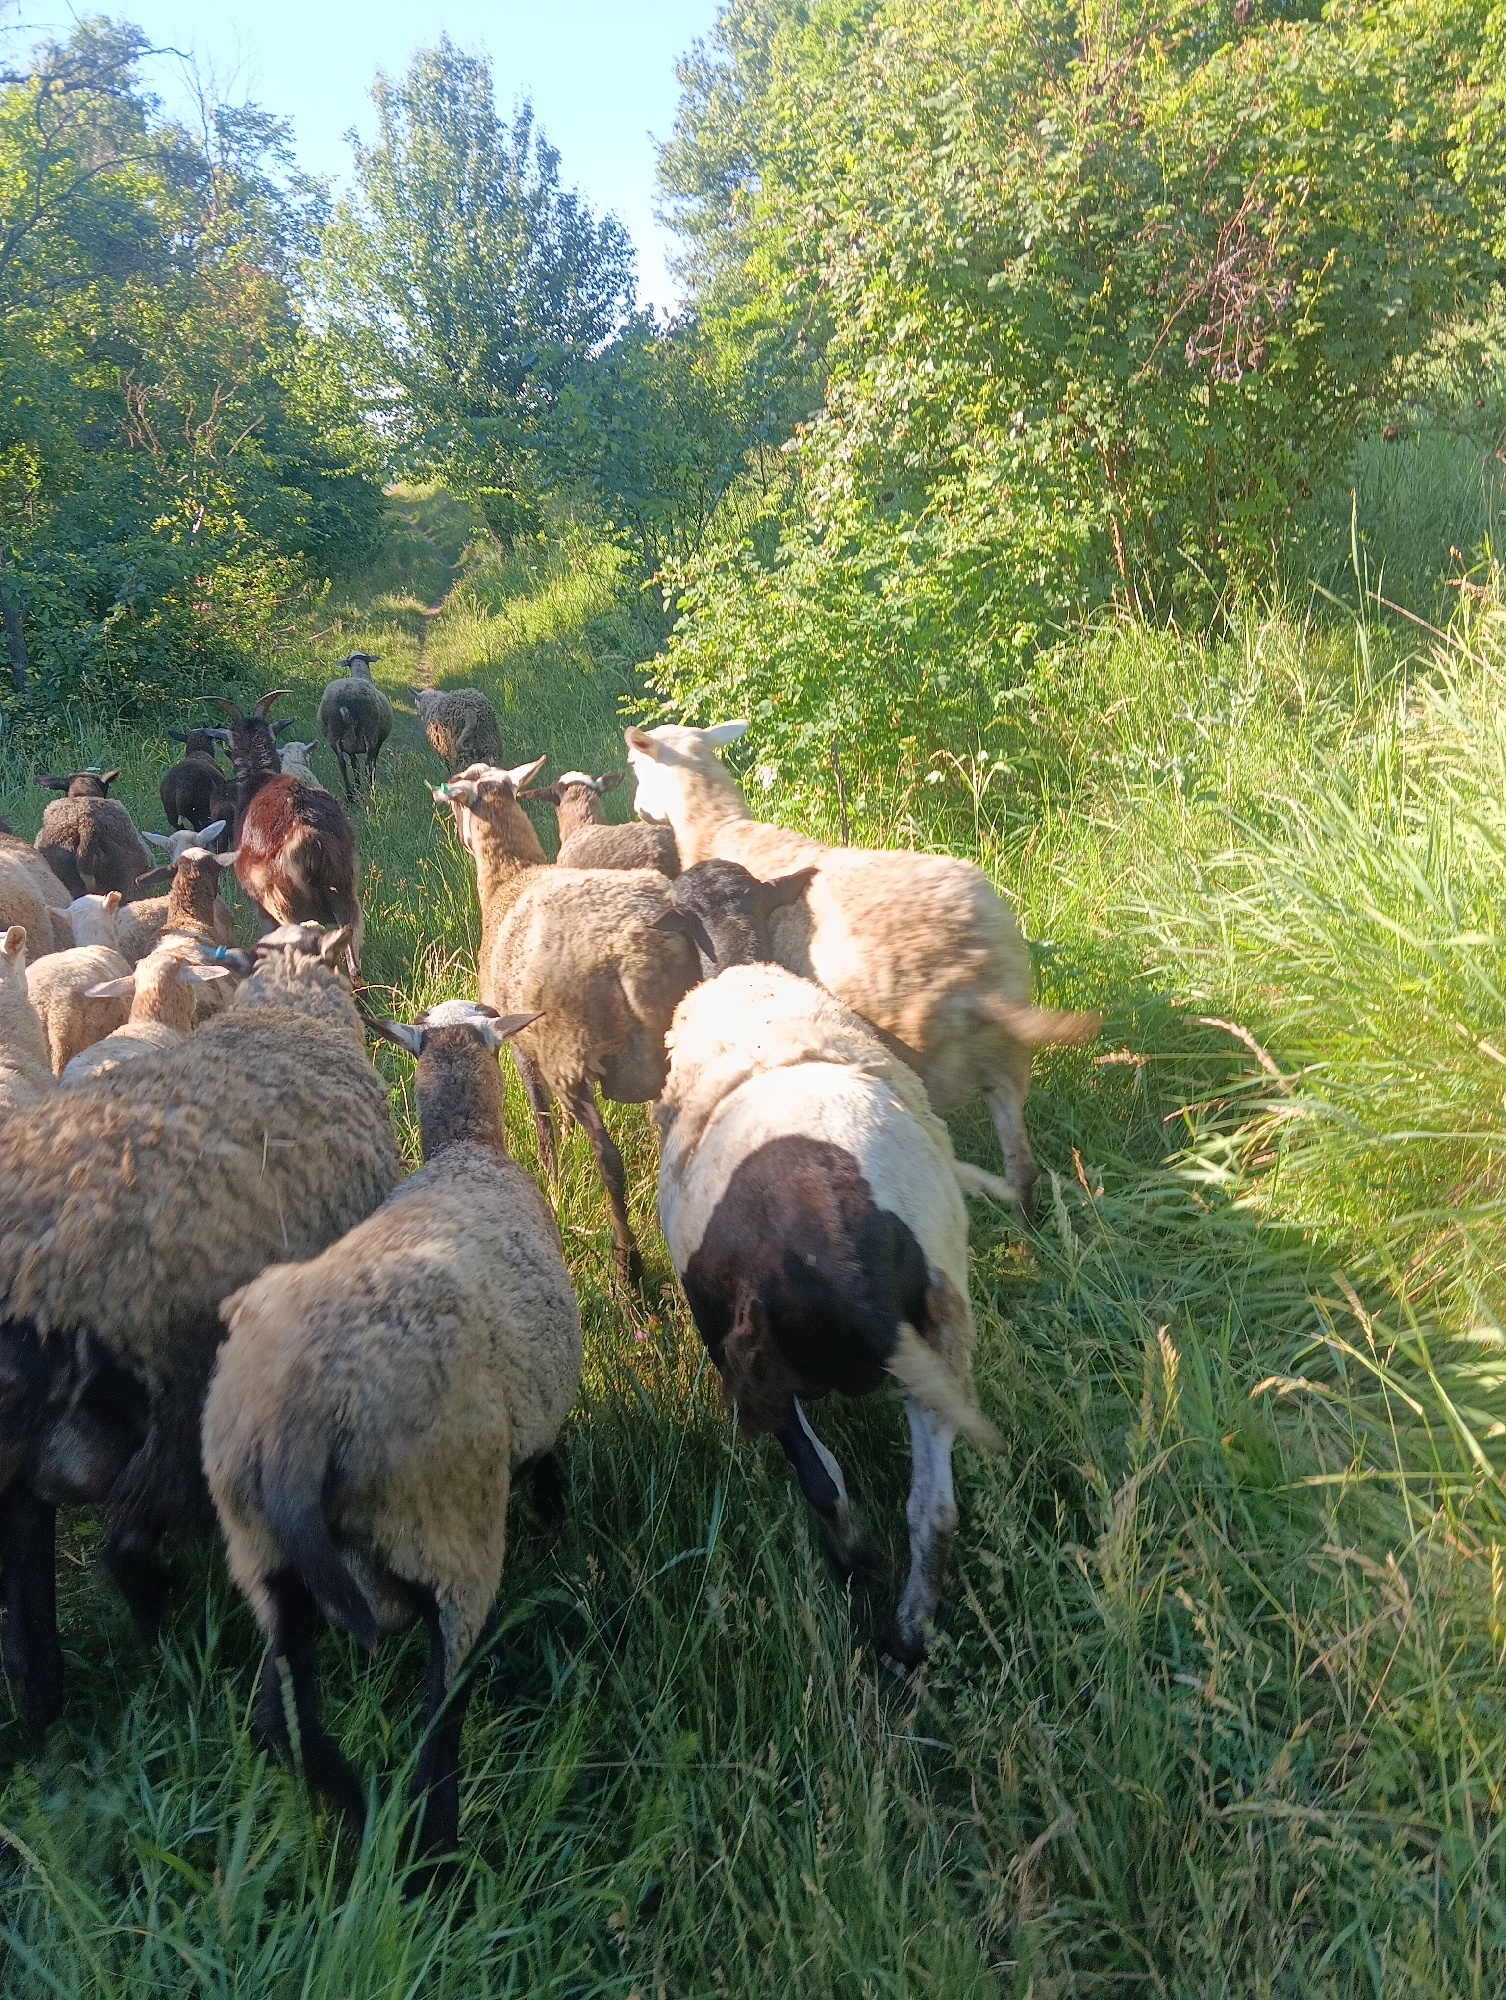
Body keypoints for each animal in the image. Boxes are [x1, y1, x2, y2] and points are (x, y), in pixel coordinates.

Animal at [203, 999, 582, 1858]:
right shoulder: (541, 1420)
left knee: (279, 1720)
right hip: (446, 1527)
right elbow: (551, 1468)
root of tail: (298, 1425)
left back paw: (356, 1812)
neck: (467, 1148)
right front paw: (561, 1521)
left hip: (268, 1564)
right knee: (441, 1718)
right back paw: (430, 1849)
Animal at [318, 651, 392, 802]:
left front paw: (357, 787)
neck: (360, 675)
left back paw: (350, 794)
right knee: (368, 764)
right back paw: (371, 790)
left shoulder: (350, 747)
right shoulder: (378, 743)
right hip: (370, 732)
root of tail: (345, 703)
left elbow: (354, 765)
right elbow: (371, 764)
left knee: (342, 764)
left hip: (333, 735)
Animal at [625, 722, 1100, 1218]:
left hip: (916, 1057)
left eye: (635, 765)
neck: (715, 827)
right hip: (1007, 1057)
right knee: (1022, 1168)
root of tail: (974, 972)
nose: (639, 811)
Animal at [652, 860, 1011, 1668]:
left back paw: (858, 1569)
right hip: (938, 1336)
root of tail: (841, 1259)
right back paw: (908, 1638)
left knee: (825, 1483)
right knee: (934, 1510)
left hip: (750, 1356)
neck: (741, 966)